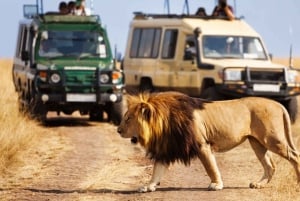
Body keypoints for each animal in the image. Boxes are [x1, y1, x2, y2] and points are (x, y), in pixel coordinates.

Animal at [117, 91, 300, 193]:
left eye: (128, 119)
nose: (118, 130)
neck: (163, 124)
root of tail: (278, 104)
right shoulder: (167, 149)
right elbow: (157, 171)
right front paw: (148, 186)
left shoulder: (202, 145)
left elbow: (210, 167)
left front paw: (216, 185)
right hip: (257, 143)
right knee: (270, 166)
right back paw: (258, 184)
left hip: (273, 139)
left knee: (294, 155)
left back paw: (298, 182)